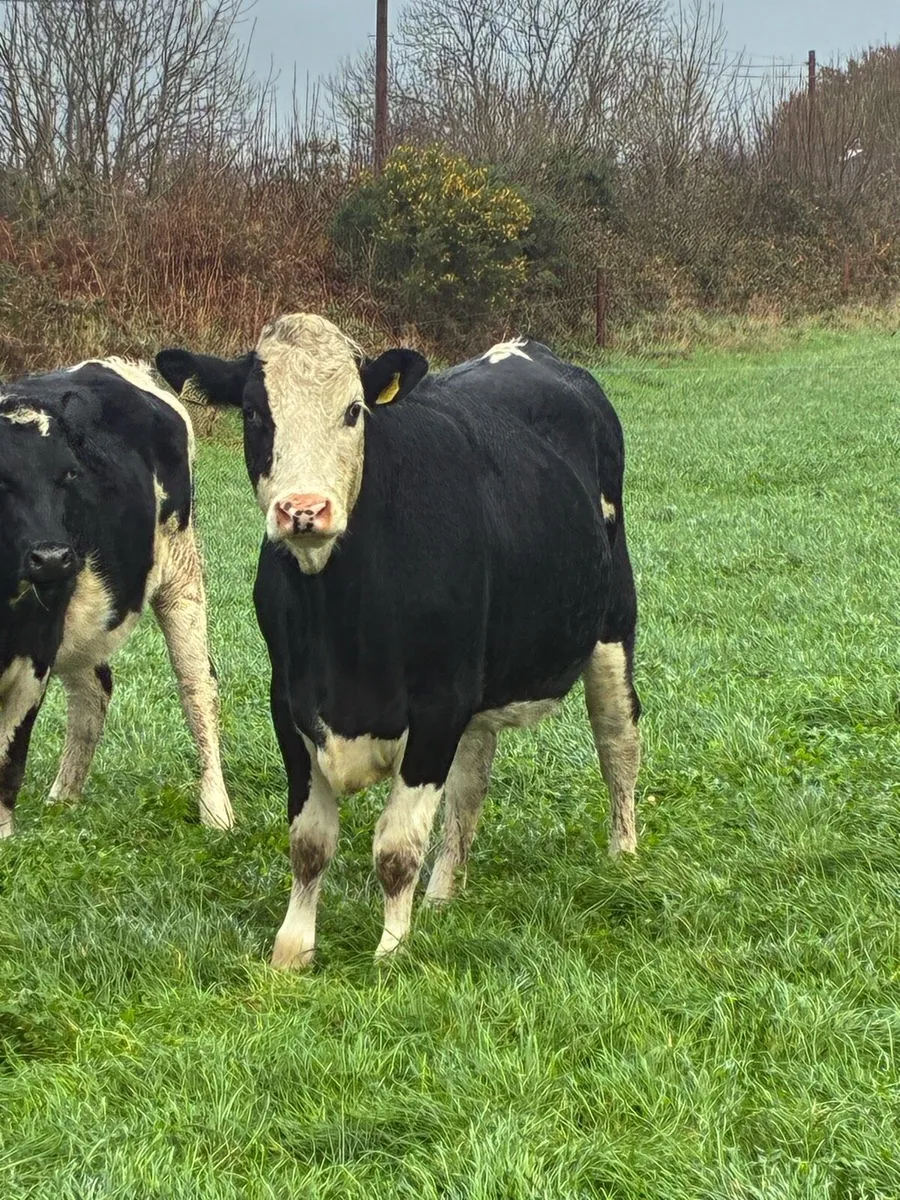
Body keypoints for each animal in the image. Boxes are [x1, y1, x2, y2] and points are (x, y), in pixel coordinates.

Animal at [0, 357, 233, 837]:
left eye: (68, 474)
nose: (53, 558)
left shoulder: (34, 655)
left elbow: (7, 759)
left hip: (180, 571)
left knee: (198, 686)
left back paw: (216, 811)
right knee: (95, 688)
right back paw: (63, 799)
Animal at [155, 316, 640, 966]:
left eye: (354, 410)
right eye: (255, 412)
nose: (303, 509)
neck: (341, 627)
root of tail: (526, 349)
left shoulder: (439, 705)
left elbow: (396, 847)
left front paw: (391, 950)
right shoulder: (289, 701)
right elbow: (309, 841)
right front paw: (293, 949)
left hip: (612, 623)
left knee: (618, 738)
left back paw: (624, 856)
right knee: (470, 783)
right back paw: (442, 894)